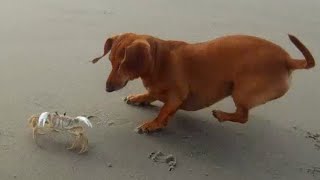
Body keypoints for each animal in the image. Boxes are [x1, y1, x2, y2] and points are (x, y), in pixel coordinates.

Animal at [90, 32, 316, 134]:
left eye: (121, 64)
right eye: (110, 62)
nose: (107, 88)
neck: (159, 60)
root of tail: (287, 59)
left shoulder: (177, 96)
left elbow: (163, 112)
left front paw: (152, 124)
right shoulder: (156, 89)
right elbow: (151, 94)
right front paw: (139, 97)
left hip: (241, 91)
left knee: (243, 116)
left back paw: (222, 115)